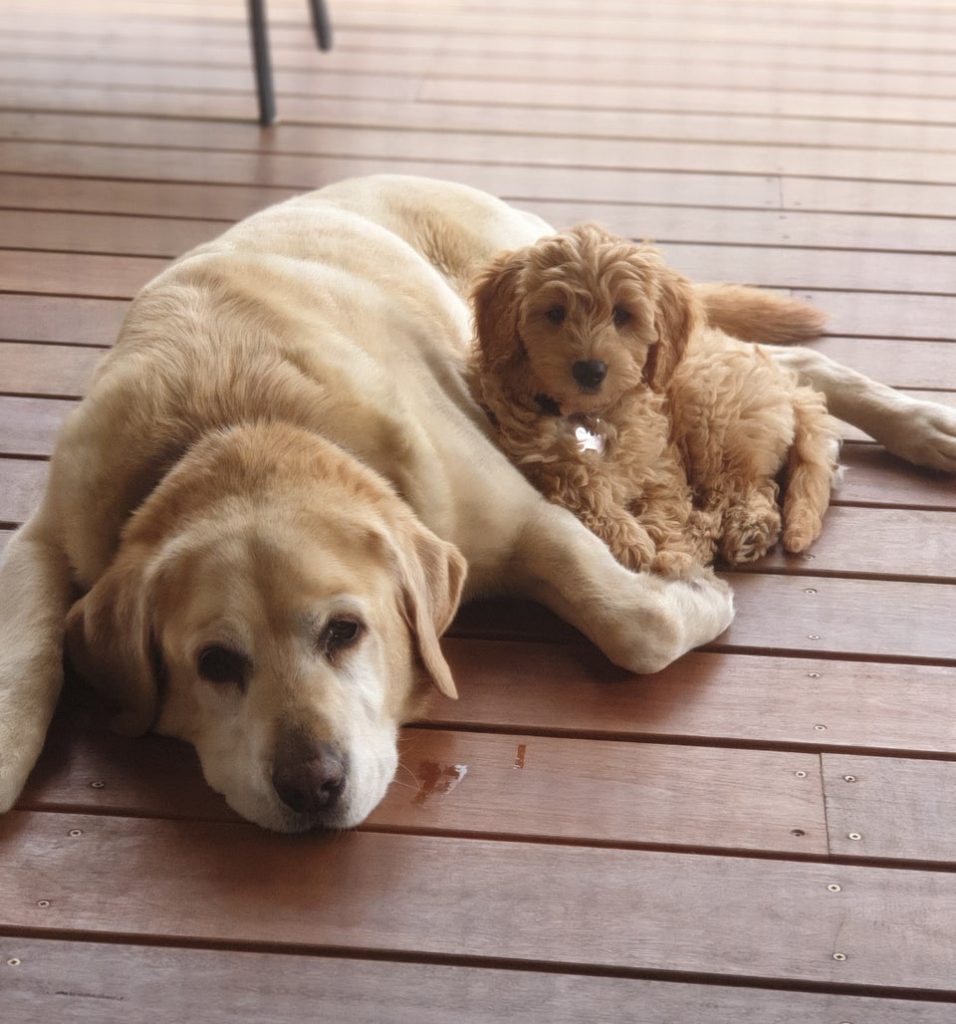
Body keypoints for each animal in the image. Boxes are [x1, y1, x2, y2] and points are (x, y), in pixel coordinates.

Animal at [474, 224, 843, 573]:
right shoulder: (544, 463)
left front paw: (665, 547)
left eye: (622, 314)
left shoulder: (660, 465)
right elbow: (583, 485)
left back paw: (727, 535)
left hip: (711, 417)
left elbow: (665, 509)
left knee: (735, 495)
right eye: (555, 313)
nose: (590, 370)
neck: (593, 416)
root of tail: (788, 385)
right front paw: (628, 539)